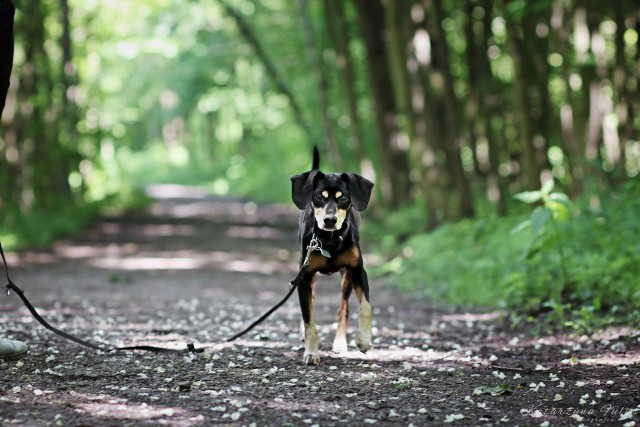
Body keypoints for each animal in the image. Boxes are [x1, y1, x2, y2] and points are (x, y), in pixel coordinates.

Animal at [292, 147, 376, 364]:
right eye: (319, 197)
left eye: (344, 198)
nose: (330, 220)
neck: (329, 239)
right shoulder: (304, 276)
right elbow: (309, 320)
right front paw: (311, 352)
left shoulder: (357, 271)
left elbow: (366, 307)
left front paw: (364, 339)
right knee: (310, 304)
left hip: (346, 277)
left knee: (343, 309)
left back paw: (340, 342)